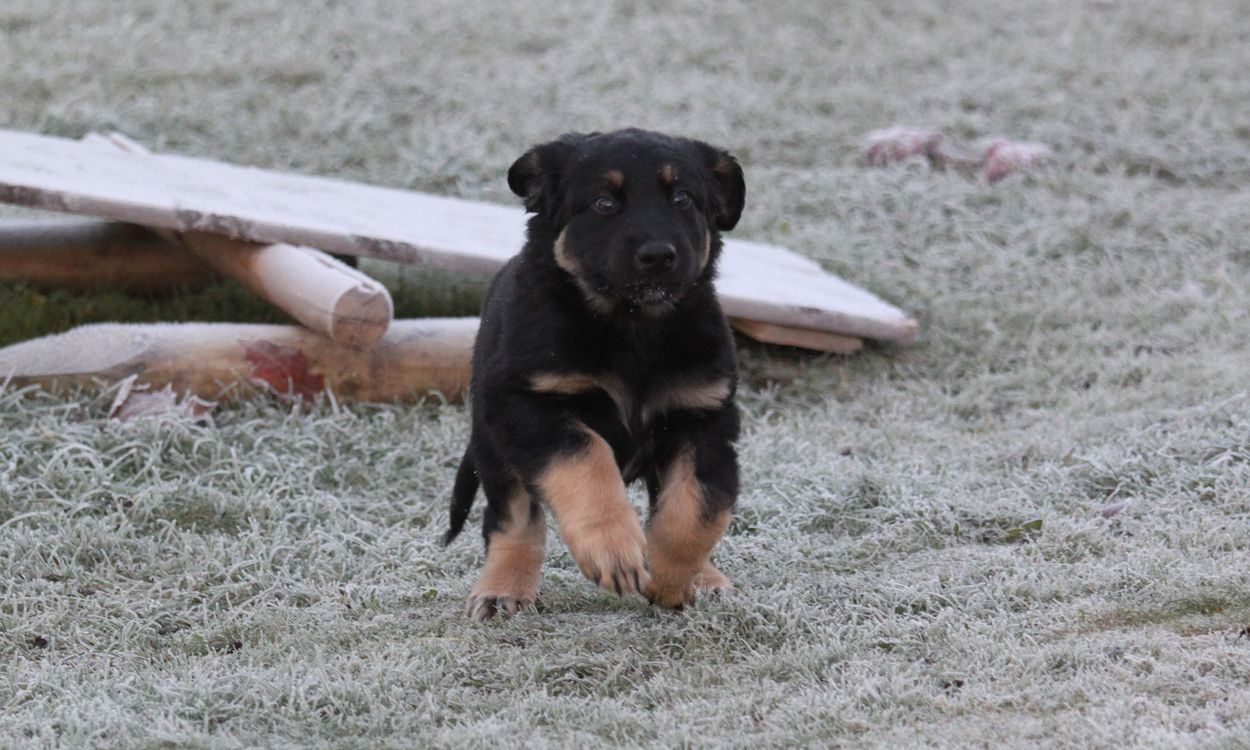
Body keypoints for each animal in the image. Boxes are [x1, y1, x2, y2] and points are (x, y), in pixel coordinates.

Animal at [444, 128, 746, 620]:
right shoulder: (531, 405)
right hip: (493, 443)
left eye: (683, 198)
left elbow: (696, 512)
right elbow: (587, 459)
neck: (633, 325)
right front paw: (613, 551)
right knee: (512, 521)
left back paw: (708, 579)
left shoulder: (704, 417)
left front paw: (669, 577)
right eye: (605, 203)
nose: (659, 256)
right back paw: (503, 589)